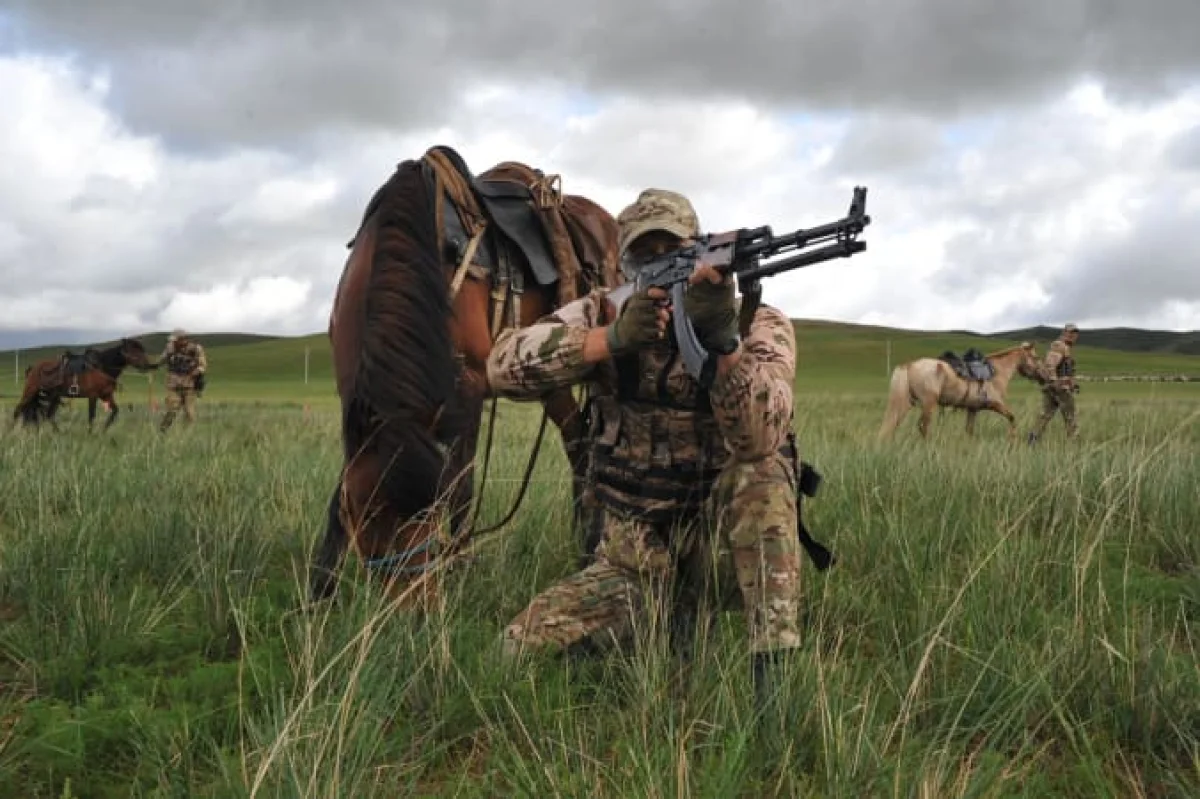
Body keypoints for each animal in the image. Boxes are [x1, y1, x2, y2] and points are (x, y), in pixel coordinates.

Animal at [304, 144, 624, 604]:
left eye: (427, 511)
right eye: (368, 520)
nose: (415, 602)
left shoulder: (468, 391)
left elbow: (461, 489)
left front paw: (459, 568)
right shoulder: (357, 405)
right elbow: (339, 492)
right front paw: (319, 592)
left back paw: (589, 545)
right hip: (549, 373)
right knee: (578, 445)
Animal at [873, 340, 1041, 439]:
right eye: (1036, 357)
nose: (1040, 376)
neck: (997, 372)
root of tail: (910, 364)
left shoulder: (972, 409)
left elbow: (969, 430)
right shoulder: (995, 404)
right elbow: (1012, 418)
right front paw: (1013, 439)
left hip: (907, 402)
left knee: (895, 423)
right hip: (928, 403)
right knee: (923, 427)